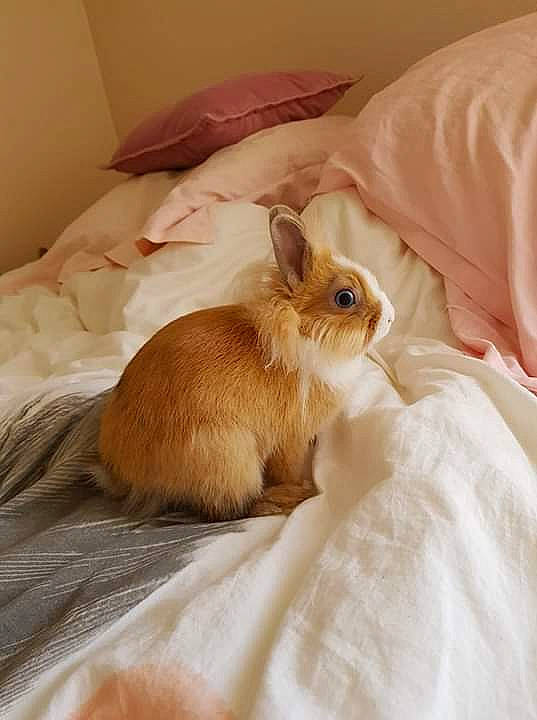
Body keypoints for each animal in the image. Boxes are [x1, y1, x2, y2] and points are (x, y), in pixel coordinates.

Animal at [98, 204, 395, 521]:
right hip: (230, 460)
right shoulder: (290, 440)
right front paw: (299, 485)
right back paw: (285, 499)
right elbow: (288, 469)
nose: (390, 317)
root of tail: (125, 475)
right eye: (345, 298)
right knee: (233, 507)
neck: (301, 334)